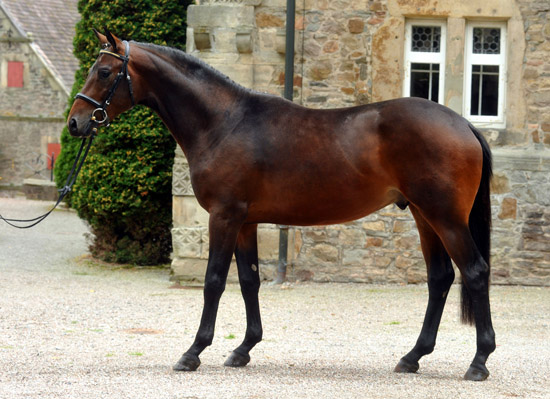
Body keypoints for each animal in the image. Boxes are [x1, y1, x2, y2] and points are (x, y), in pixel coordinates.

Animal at [68, 28, 496, 382]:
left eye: (104, 72)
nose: (75, 123)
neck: (224, 122)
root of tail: (464, 124)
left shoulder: (224, 217)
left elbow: (214, 281)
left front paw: (193, 352)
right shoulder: (245, 221)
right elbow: (249, 280)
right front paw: (243, 349)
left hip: (446, 218)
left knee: (474, 271)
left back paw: (478, 362)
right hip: (425, 216)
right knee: (440, 278)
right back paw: (412, 357)